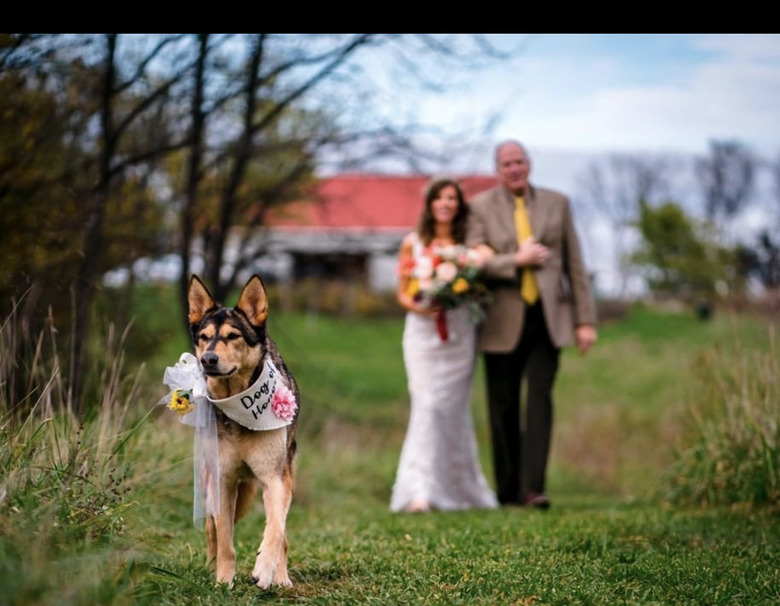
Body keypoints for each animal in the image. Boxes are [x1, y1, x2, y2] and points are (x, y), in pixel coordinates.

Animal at [187, 274, 300, 588]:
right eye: (204, 337)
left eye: (233, 336)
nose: (208, 359)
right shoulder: (223, 480)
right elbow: (225, 539)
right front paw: (223, 580)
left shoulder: (276, 479)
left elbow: (275, 530)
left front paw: (265, 570)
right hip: (211, 482)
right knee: (211, 529)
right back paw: (210, 566)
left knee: (282, 532)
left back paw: (281, 577)